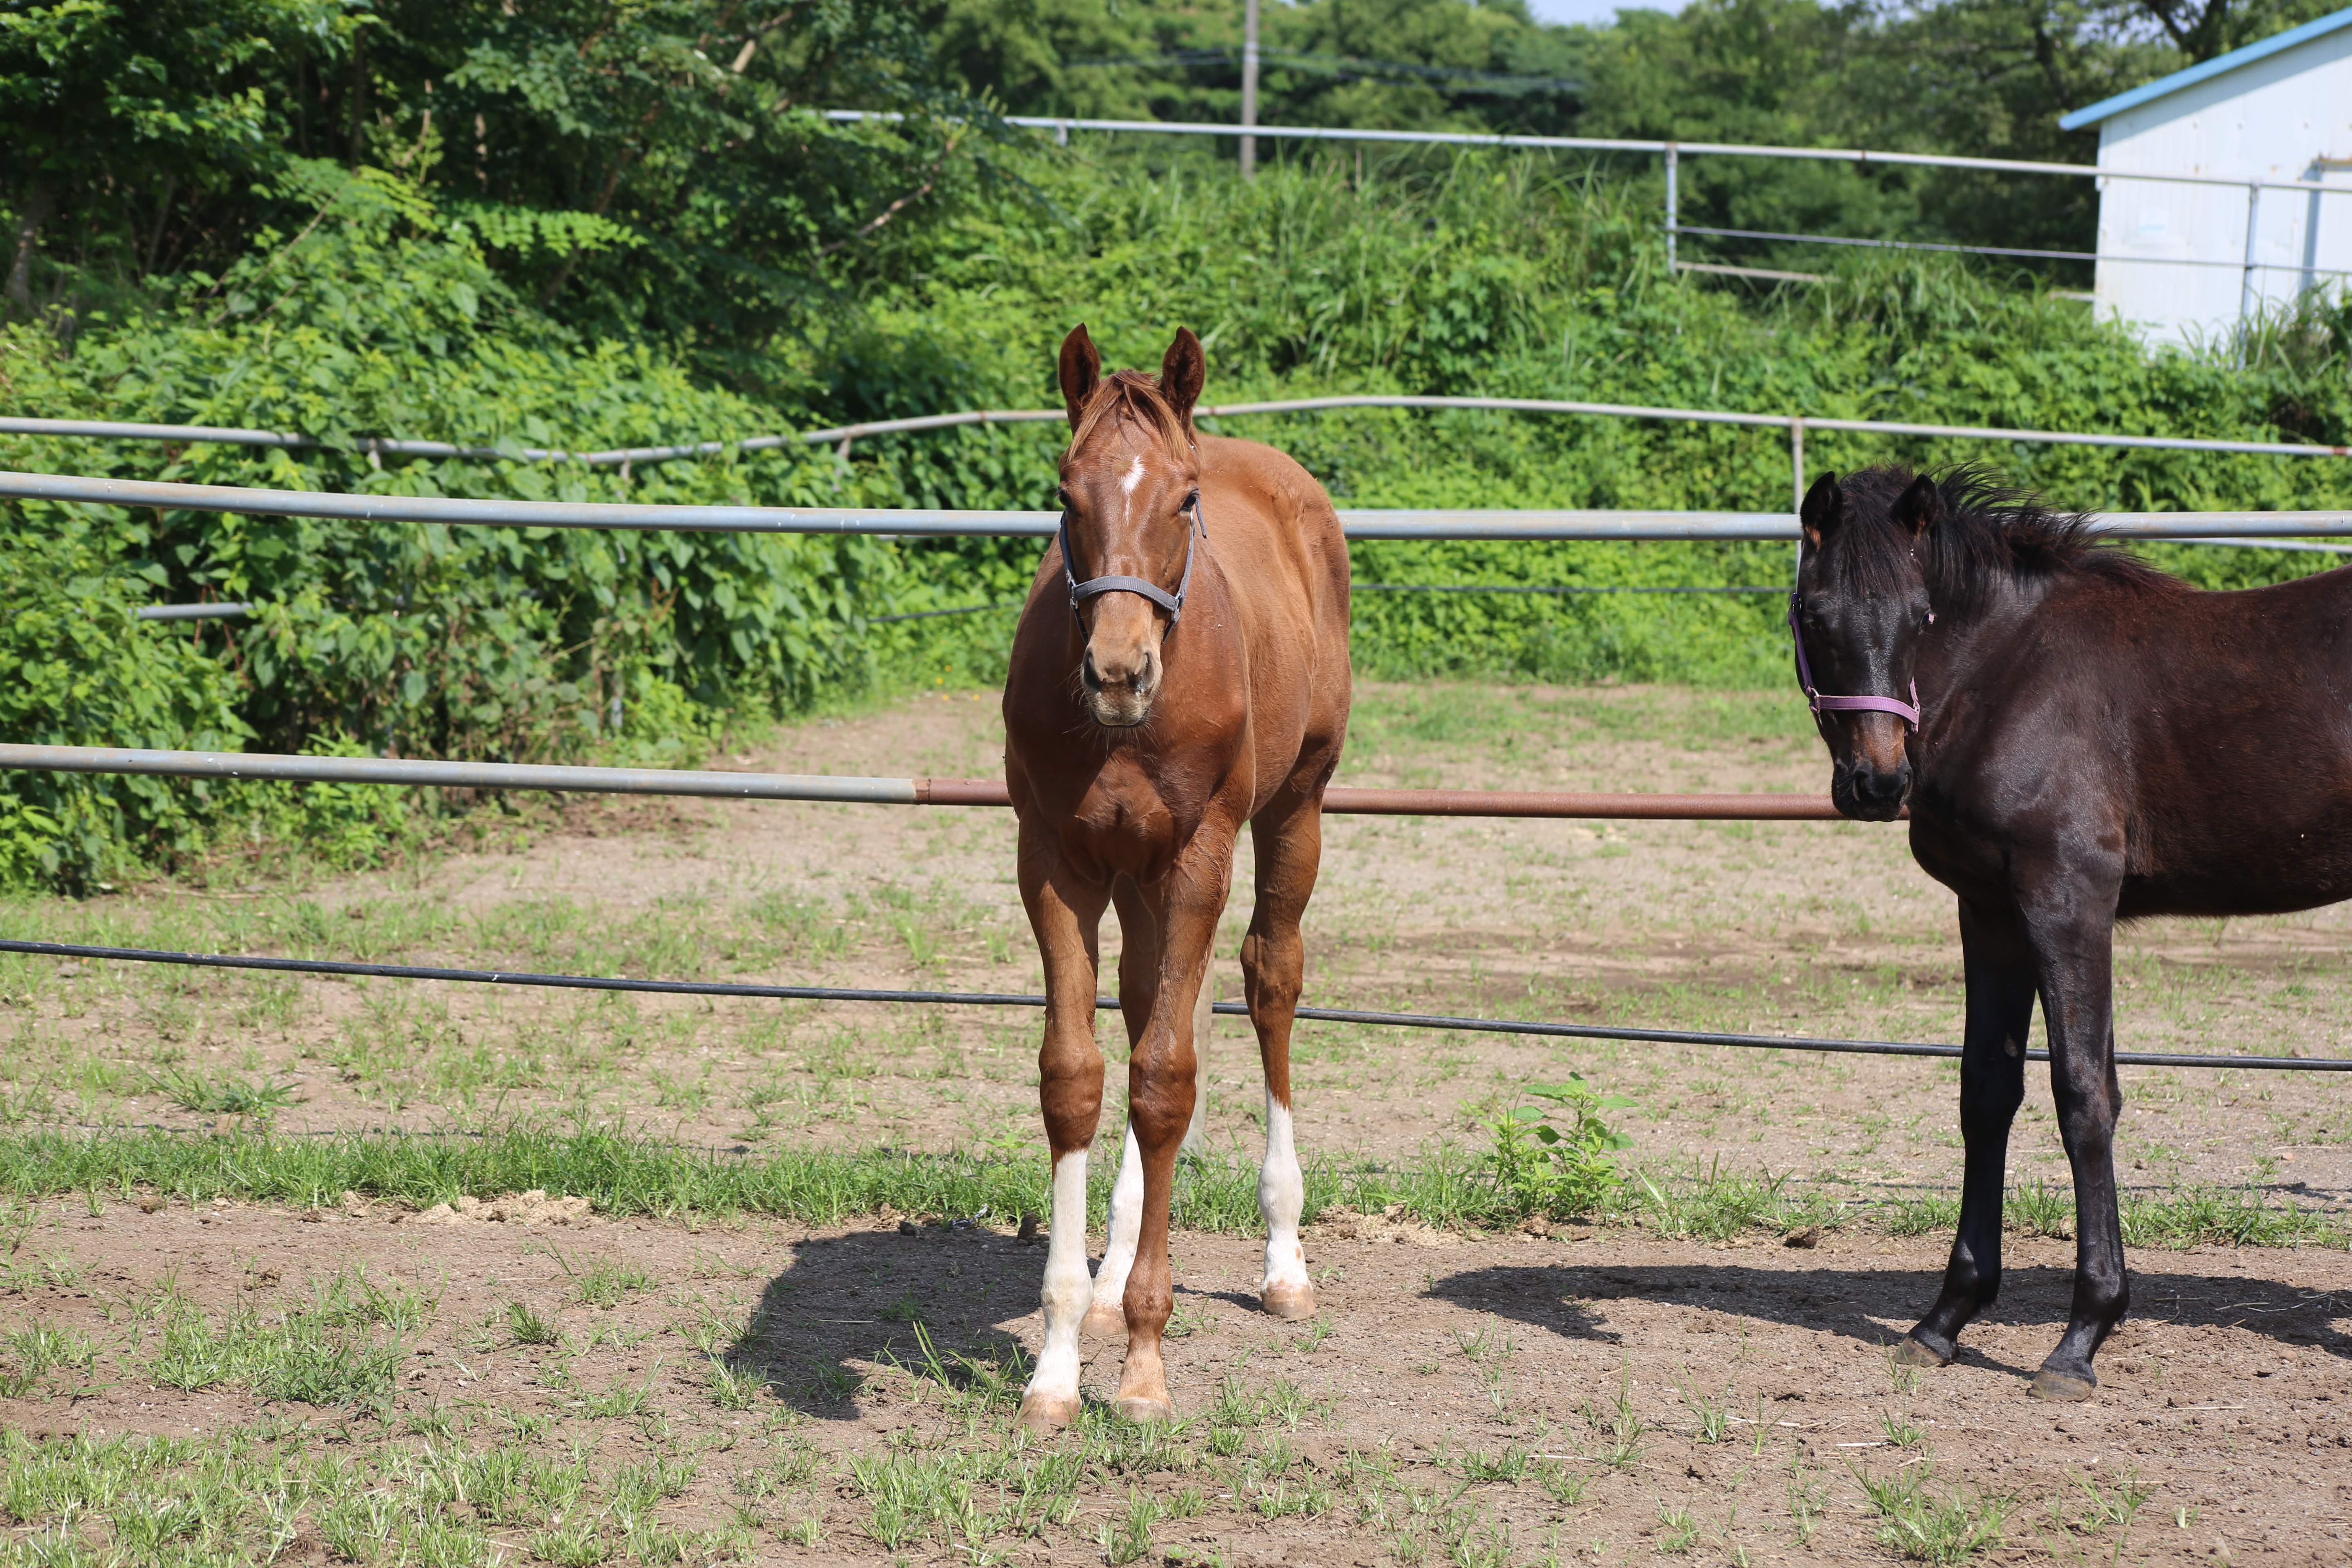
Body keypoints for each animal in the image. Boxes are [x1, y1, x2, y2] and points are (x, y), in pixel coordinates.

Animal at [1002, 324, 1354, 1429]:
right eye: (1064, 490)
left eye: (1185, 499)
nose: (1119, 674)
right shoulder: (1057, 861)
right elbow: (1080, 1076)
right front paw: (1060, 1360)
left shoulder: (1200, 853)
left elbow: (1165, 1084)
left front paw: (1145, 1365)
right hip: (1137, 872)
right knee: (1151, 1001)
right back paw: (1113, 1272)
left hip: (1292, 811)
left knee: (1268, 982)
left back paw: (1283, 1261)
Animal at [1787, 463, 2352, 1401]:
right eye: (1814, 613)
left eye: (1920, 615)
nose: (1876, 782)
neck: (2009, 676)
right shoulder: (1990, 911)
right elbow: (1987, 1092)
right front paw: (1944, 1321)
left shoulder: (2068, 900)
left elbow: (2086, 1096)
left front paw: (2081, 1338)